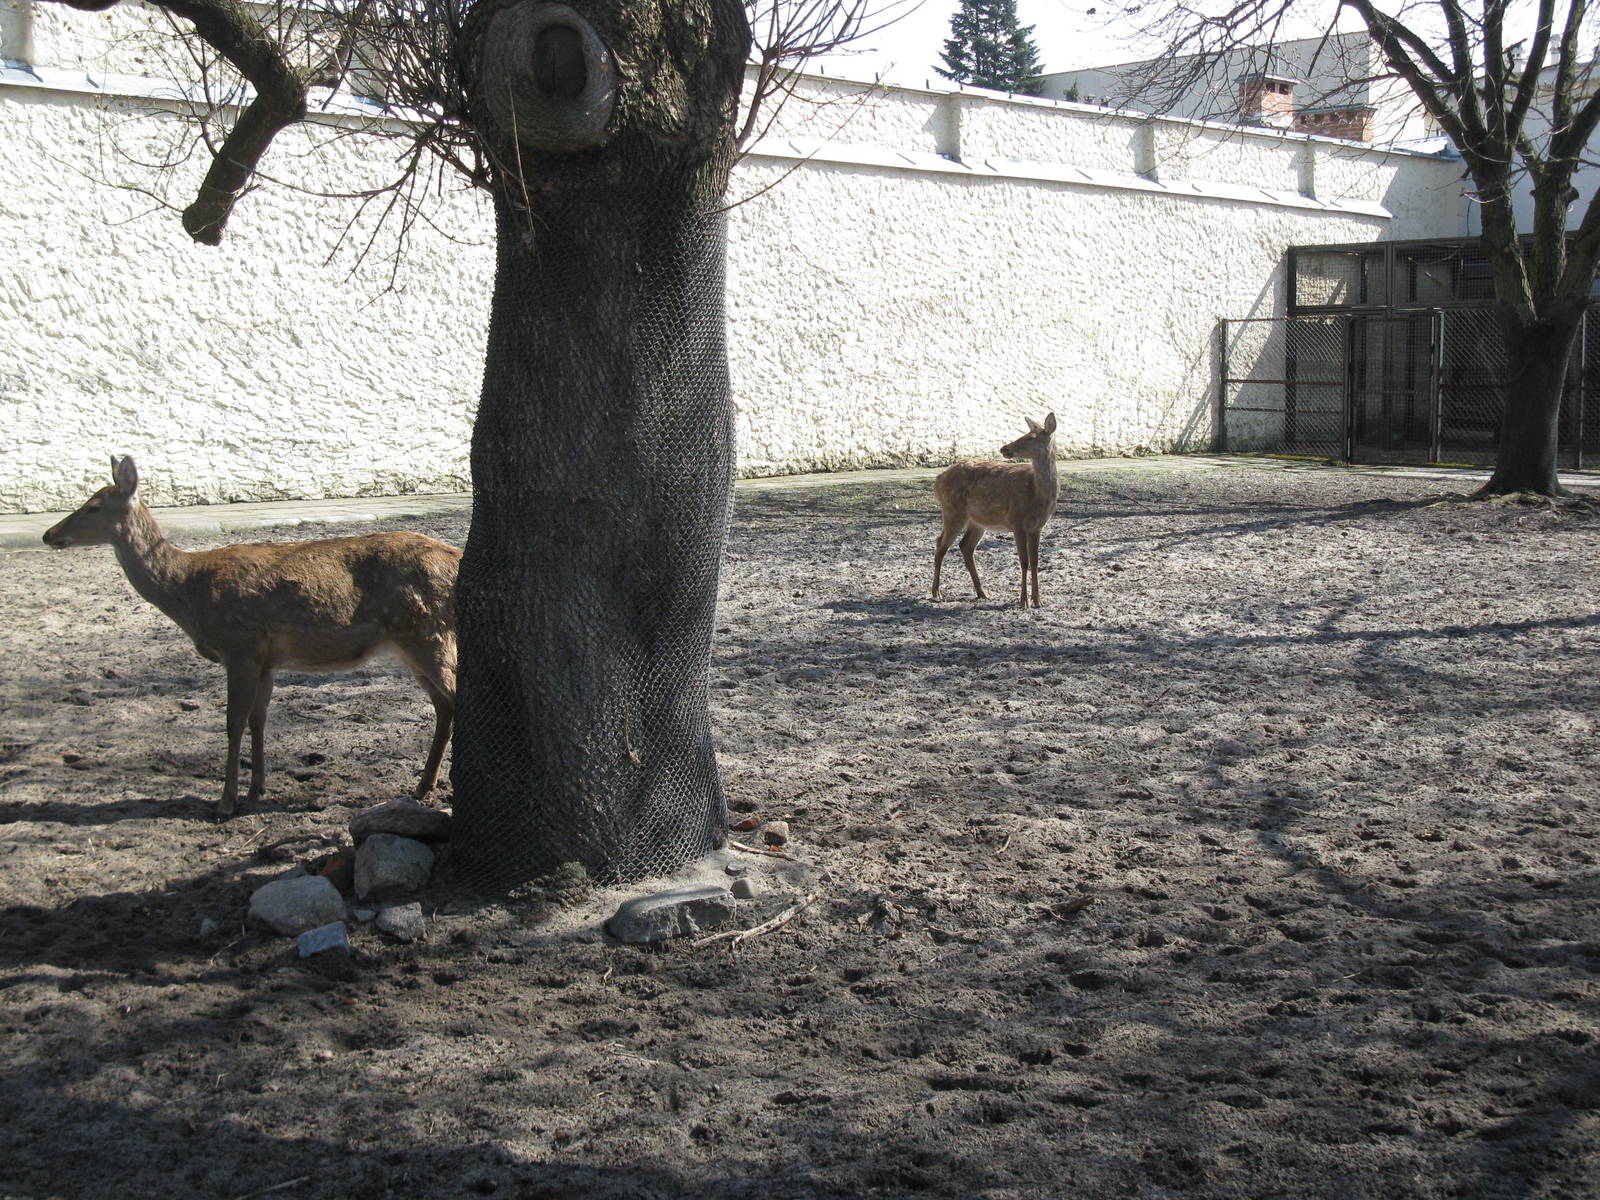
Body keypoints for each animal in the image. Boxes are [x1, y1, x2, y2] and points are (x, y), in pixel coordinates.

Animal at [43, 456, 461, 818]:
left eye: (93, 507)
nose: (49, 534)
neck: (189, 592)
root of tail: (457, 558)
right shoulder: (265, 658)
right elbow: (259, 718)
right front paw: (256, 788)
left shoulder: (239, 646)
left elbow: (233, 721)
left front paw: (225, 802)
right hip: (413, 643)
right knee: (444, 705)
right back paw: (423, 787)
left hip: (428, 632)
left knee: (455, 698)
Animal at [931, 412, 1060, 609]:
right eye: (1023, 434)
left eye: (1030, 437)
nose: (1004, 448)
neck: (1036, 495)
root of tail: (938, 480)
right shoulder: (1016, 521)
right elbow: (1024, 562)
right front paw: (1023, 601)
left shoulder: (1037, 526)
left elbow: (1035, 561)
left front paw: (1038, 600)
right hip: (952, 510)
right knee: (941, 545)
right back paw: (936, 593)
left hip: (977, 520)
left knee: (965, 546)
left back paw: (982, 592)